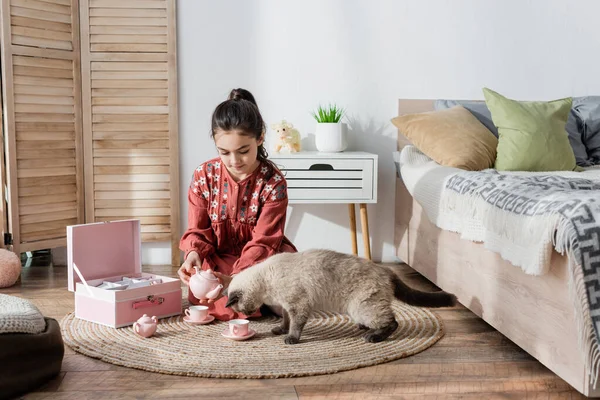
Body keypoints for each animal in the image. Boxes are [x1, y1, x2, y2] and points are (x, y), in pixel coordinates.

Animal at [224, 248, 454, 342]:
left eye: (240, 309)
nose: (246, 315)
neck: (266, 280)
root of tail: (386, 270)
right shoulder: (287, 306)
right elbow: (286, 321)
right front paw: (280, 330)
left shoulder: (298, 304)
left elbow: (296, 326)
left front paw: (291, 339)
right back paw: (365, 328)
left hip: (361, 307)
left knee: (392, 322)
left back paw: (373, 337)